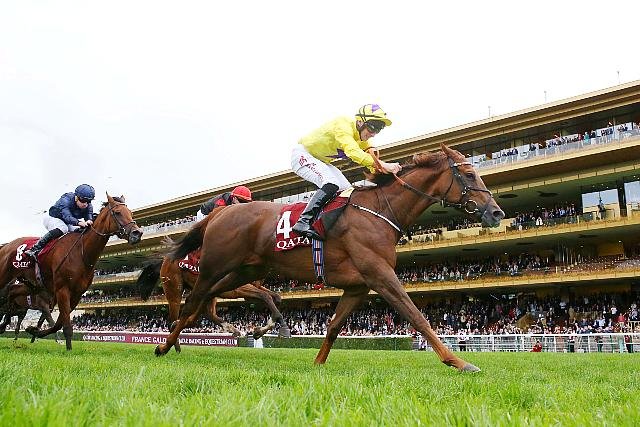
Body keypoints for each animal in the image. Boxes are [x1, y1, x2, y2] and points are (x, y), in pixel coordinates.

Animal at [0, 194, 143, 350]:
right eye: (117, 212)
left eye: (131, 213)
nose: (137, 233)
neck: (82, 252)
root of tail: (7, 245)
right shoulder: (62, 290)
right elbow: (65, 325)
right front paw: (68, 350)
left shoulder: (76, 294)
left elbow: (59, 323)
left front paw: (34, 331)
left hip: (31, 286)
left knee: (11, 294)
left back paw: (5, 324)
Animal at [137, 255, 290, 353]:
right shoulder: (238, 288)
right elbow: (266, 296)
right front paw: (265, 330)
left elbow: (276, 297)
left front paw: (260, 330)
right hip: (174, 290)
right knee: (176, 316)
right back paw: (173, 345)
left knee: (203, 314)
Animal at [154, 144, 505, 372]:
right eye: (470, 174)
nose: (497, 213)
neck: (379, 210)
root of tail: (220, 213)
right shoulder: (381, 275)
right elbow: (417, 315)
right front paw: (458, 361)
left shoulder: (358, 286)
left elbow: (335, 325)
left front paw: (317, 363)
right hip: (213, 267)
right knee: (190, 304)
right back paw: (165, 344)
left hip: (243, 272)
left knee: (205, 304)